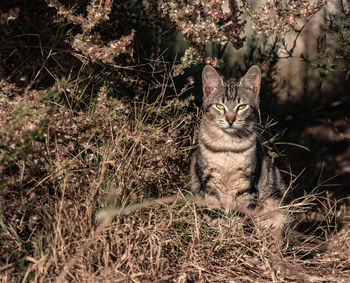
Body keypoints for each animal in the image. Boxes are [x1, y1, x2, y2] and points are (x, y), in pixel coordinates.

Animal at [190, 65, 288, 235]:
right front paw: (218, 234)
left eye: (242, 106)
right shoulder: (210, 183)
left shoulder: (246, 185)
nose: (230, 120)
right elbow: (214, 213)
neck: (228, 148)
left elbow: (240, 214)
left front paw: (233, 234)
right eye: (219, 106)